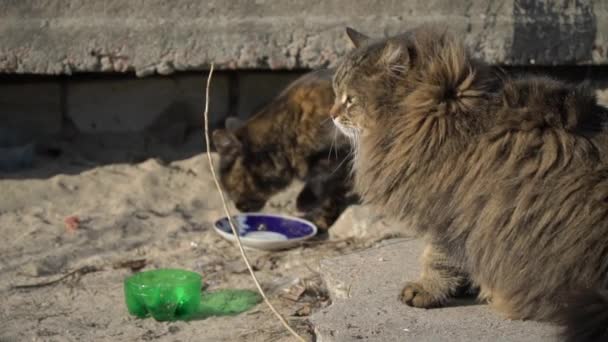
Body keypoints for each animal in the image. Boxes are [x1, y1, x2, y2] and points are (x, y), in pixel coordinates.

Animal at [213, 68, 356, 231]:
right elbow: (331, 195)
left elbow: (325, 179)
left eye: (231, 188)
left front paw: (309, 206)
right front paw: (319, 220)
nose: (239, 207)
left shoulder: (344, 149)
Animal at [330, 25, 608, 340]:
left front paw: (426, 290)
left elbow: (437, 259)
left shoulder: (449, 214)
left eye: (350, 99)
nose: (332, 114)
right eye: (336, 93)